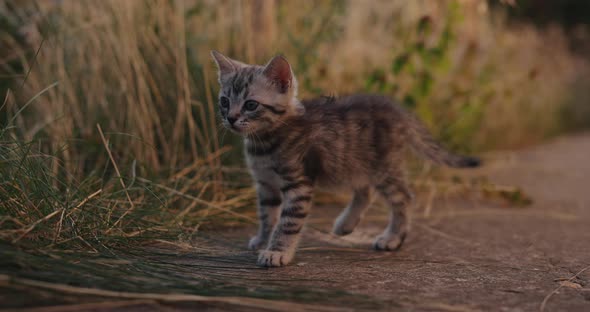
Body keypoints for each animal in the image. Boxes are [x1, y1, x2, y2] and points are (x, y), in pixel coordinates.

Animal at [213, 51, 480, 268]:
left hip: (382, 166)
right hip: (354, 162)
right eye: (224, 101)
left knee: (403, 197)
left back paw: (393, 238)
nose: (231, 118)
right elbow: (267, 216)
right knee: (365, 190)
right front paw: (262, 239)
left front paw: (277, 252)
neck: (263, 143)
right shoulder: (265, 184)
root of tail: (397, 110)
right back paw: (346, 224)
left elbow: (288, 222)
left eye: (251, 105)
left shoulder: (298, 184)